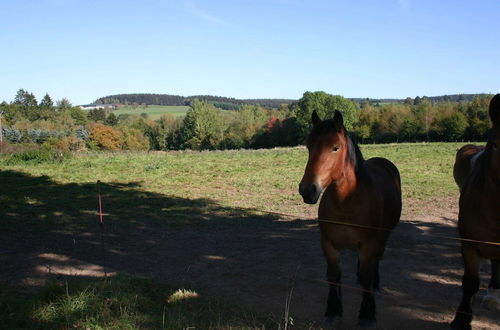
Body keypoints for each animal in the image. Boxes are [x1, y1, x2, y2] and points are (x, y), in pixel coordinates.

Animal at [298, 110, 400, 324]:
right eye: (309, 145)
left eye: (335, 147)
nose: (307, 190)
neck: (347, 201)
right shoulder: (328, 244)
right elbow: (334, 275)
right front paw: (333, 308)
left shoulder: (368, 244)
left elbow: (367, 276)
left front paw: (367, 313)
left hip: (382, 238)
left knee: (374, 263)